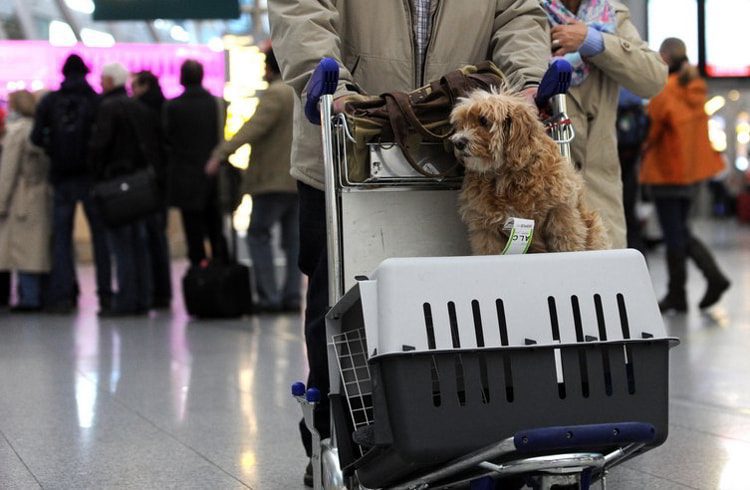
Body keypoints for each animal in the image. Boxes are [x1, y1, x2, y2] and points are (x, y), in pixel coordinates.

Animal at [452, 89, 612, 255]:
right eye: (461, 123)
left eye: (483, 120)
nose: (458, 142)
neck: (506, 175)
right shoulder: (486, 229)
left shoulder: (561, 212)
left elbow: (566, 241)